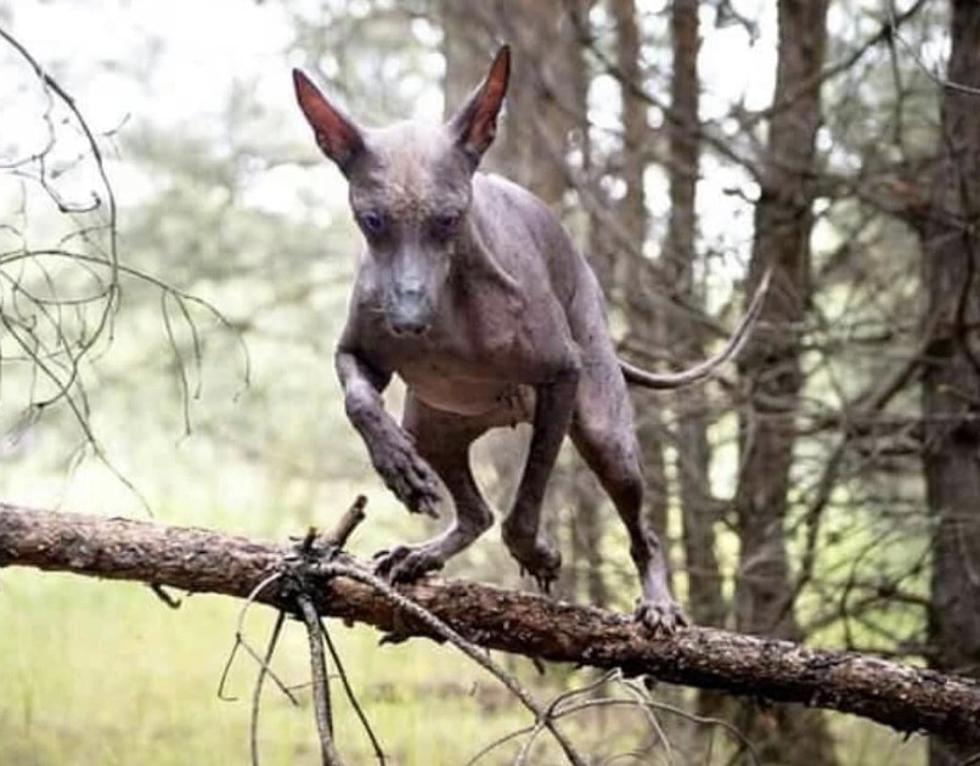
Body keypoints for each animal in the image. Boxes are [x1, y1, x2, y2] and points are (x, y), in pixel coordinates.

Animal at [294, 46, 768, 636]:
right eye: (372, 220)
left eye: (449, 219)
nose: (407, 320)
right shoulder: (356, 353)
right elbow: (359, 399)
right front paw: (396, 465)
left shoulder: (561, 376)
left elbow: (524, 510)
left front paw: (540, 554)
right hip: (434, 426)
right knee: (475, 512)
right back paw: (423, 551)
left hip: (604, 432)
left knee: (644, 531)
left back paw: (658, 603)